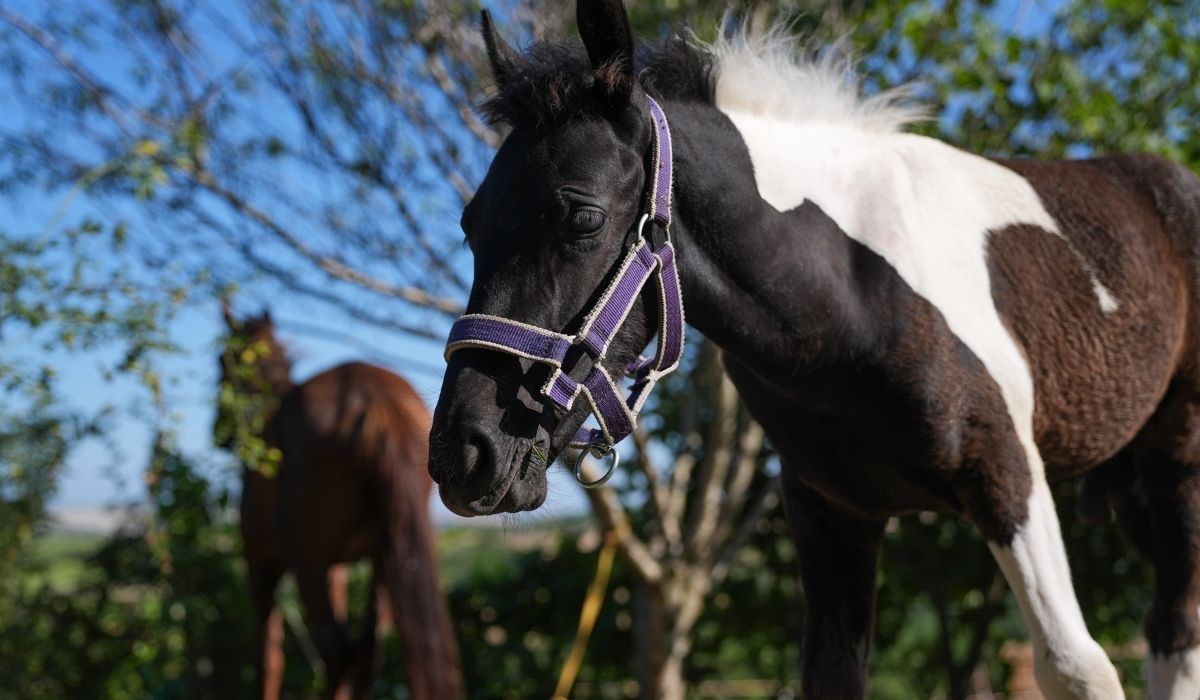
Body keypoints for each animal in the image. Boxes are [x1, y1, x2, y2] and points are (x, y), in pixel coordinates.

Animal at [216, 309, 458, 700]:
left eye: (222, 361)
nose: (219, 433)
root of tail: (371, 400)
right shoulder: (337, 570)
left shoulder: (261, 564)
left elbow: (268, 657)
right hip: (386, 557)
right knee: (367, 653)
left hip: (308, 565)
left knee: (337, 652)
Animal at [429, 2, 1200, 696]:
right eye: (469, 224)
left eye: (583, 216)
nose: (463, 454)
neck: (851, 303)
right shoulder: (833, 514)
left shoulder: (1009, 476)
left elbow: (1077, 667)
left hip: (1177, 465)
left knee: (1174, 633)